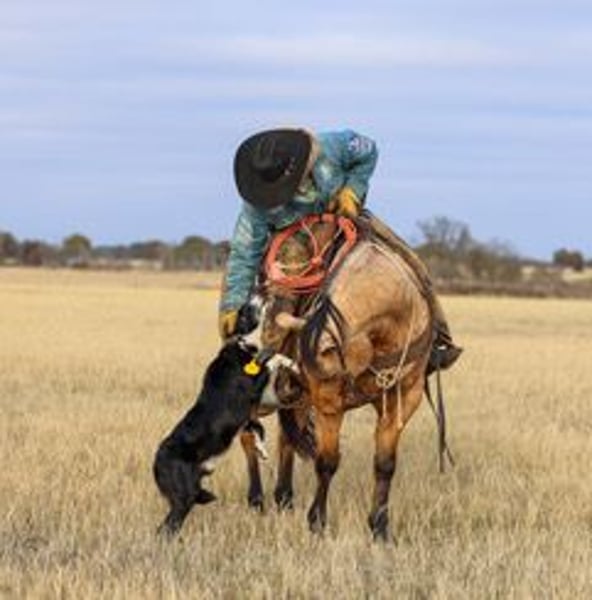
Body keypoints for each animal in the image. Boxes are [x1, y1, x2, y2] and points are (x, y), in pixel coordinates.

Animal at [153, 338, 272, 536]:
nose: (255, 344)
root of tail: (156, 463)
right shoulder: (252, 388)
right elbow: (268, 366)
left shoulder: (247, 419)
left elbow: (259, 430)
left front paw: (262, 450)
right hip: (185, 496)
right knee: (167, 526)